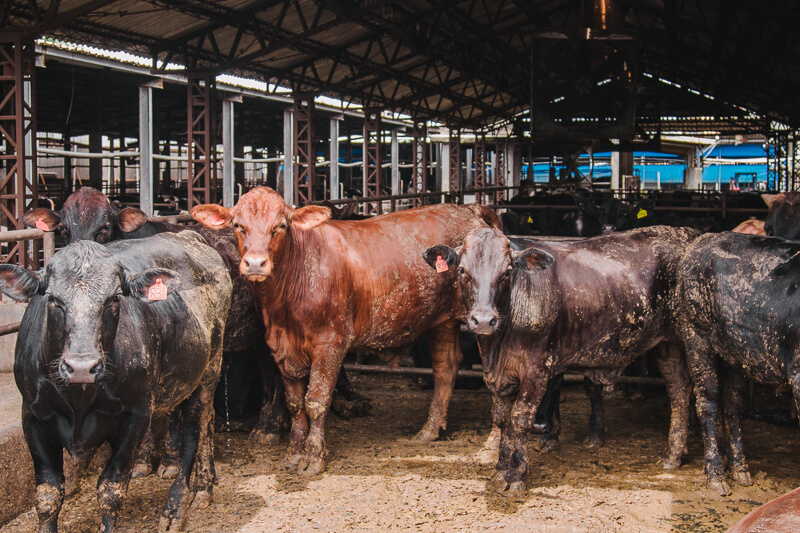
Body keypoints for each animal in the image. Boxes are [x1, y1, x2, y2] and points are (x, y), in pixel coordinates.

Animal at [0, 233, 231, 532]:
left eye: (113, 299)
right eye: (52, 299)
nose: (81, 367)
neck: (78, 401)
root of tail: (187, 236)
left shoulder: (136, 416)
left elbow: (111, 489)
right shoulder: (32, 416)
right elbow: (48, 494)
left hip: (208, 372)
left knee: (194, 433)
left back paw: (176, 508)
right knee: (207, 425)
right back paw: (204, 486)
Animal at [191, 188, 500, 474]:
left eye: (281, 225)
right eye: (238, 225)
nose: (255, 263)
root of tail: (470, 208)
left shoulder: (331, 342)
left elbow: (316, 399)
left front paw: (313, 458)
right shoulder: (279, 347)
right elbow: (294, 403)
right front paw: (294, 454)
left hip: (483, 321)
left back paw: (492, 445)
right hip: (442, 320)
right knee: (445, 367)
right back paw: (429, 430)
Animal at [424, 225, 692, 490]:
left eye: (507, 271)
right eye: (462, 270)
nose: (483, 320)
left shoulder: (537, 369)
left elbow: (520, 418)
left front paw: (517, 475)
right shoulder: (498, 375)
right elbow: (502, 420)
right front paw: (500, 471)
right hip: (666, 345)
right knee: (678, 391)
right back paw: (673, 455)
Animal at [676, 233, 800, 494]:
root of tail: (703, 240)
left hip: (736, 354)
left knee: (732, 405)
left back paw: (740, 470)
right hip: (696, 337)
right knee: (708, 402)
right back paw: (715, 474)